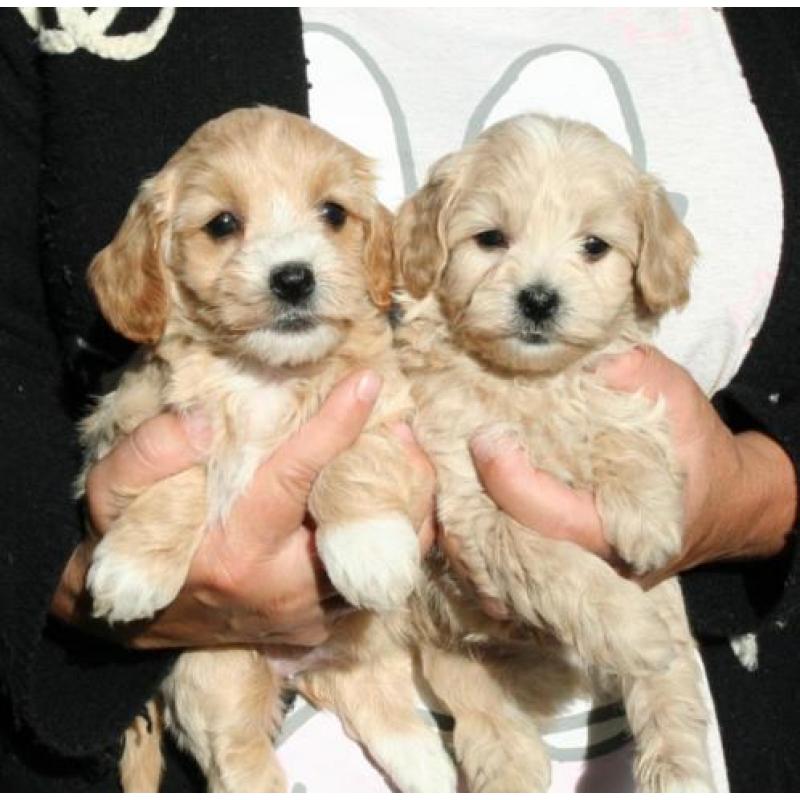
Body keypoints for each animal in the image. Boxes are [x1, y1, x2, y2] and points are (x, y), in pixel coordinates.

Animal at [81, 108, 460, 792]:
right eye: (223, 224)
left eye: (333, 213)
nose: (293, 277)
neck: (264, 375)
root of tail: (297, 663)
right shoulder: (141, 417)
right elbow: (180, 479)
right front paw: (133, 568)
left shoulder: (382, 402)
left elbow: (354, 459)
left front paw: (368, 548)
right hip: (217, 674)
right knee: (241, 759)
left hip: (364, 644)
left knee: (384, 710)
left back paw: (429, 768)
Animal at [388, 114, 712, 792]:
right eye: (490, 238)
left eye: (594, 246)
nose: (539, 299)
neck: (529, 386)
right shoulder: (464, 497)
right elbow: (544, 555)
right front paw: (627, 626)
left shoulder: (616, 384)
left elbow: (623, 432)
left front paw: (646, 513)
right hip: (444, 639)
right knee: (477, 699)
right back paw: (510, 763)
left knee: (672, 681)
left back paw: (676, 769)